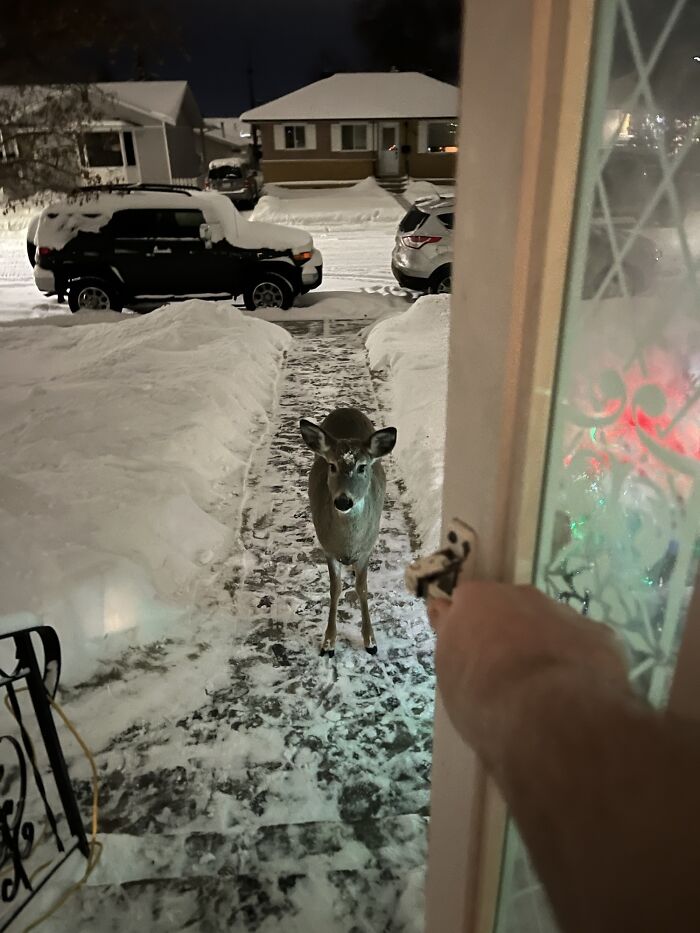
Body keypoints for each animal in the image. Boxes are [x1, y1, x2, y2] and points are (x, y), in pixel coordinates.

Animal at [298, 406, 396, 656]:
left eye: (362, 466)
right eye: (332, 466)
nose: (343, 501)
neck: (348, 544)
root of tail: (346, 408)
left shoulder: (366, 548)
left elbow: (362, 588)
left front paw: (370, 641)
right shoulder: (328, 548)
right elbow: (335, 589)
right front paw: (328, 643)